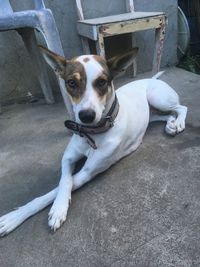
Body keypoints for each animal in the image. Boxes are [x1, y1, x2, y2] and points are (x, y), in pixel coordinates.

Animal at [0, 46, 188, 237]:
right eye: (71, 83)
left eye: (102, 82)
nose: (86, 116)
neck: (91, 133)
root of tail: (150, 79)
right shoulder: (68, 158)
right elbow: (64, 182)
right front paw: (19, 215)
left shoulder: (88, 172)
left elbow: (56, 190)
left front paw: (57, 209)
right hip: (152, 111)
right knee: (165, 116)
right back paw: (171, 125)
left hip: (157, 97)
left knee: (181, 108)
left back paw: (179, 123)